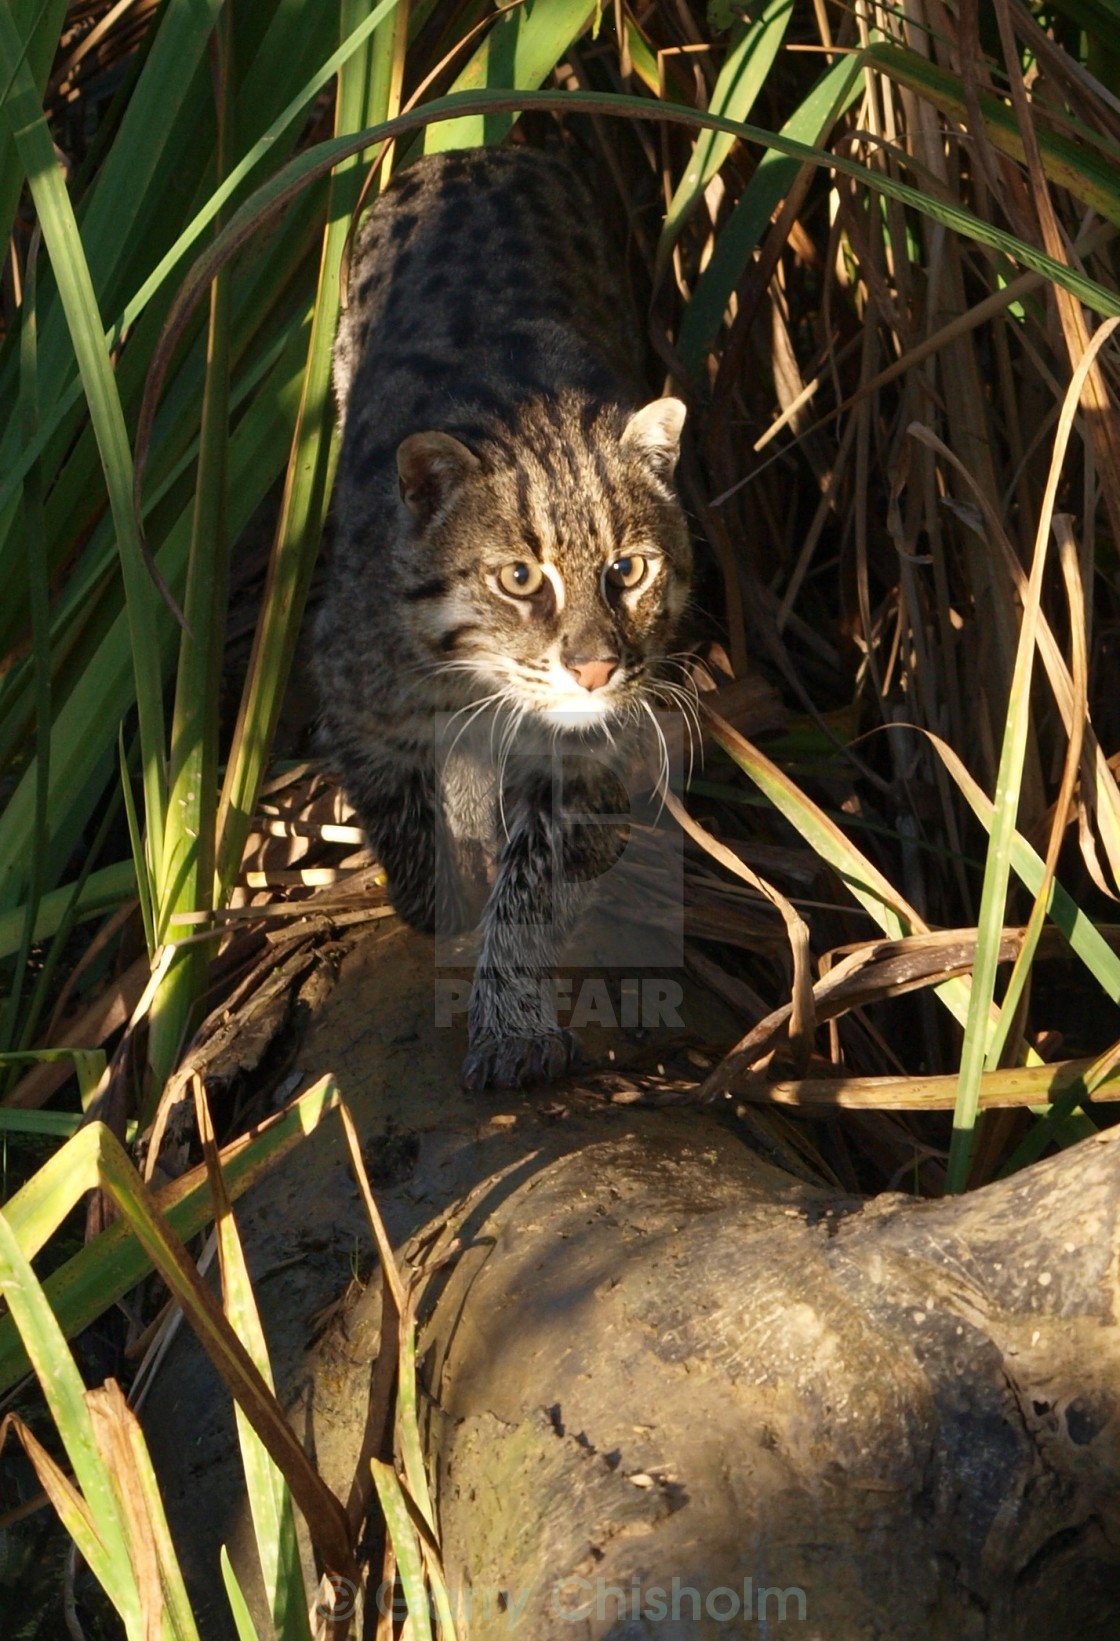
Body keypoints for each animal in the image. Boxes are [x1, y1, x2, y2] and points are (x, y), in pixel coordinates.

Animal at [313, 144, 692, 1089]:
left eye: (628, 570)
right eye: (520, 577)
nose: (596, 668)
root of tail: (472, 151)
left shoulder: (579, 758)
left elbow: (533, 885)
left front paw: (513, 1023)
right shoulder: (355, 703)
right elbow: (404, 819)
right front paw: (437, 897)